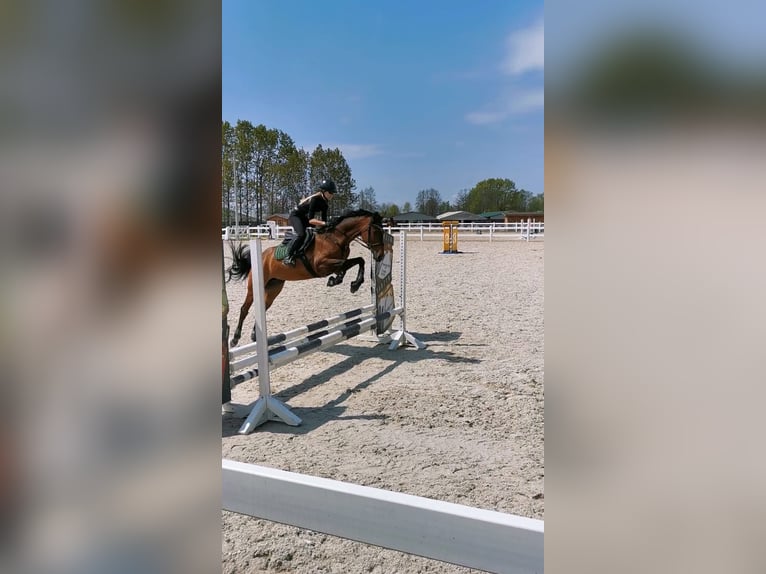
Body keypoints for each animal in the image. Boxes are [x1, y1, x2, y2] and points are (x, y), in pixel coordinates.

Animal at [226, 209, 387, 347]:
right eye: (376, 231)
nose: (380, 256)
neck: (336, 238)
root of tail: (261, 256)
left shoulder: (334, 264)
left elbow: (358, 261)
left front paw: (346, 282)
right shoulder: (322, 266)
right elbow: (350, 263)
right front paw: (348, 283)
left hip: (274, 288)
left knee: (264, 307)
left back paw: (254, 336)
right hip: (253, 288)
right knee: (244, 309)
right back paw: (235, 339)